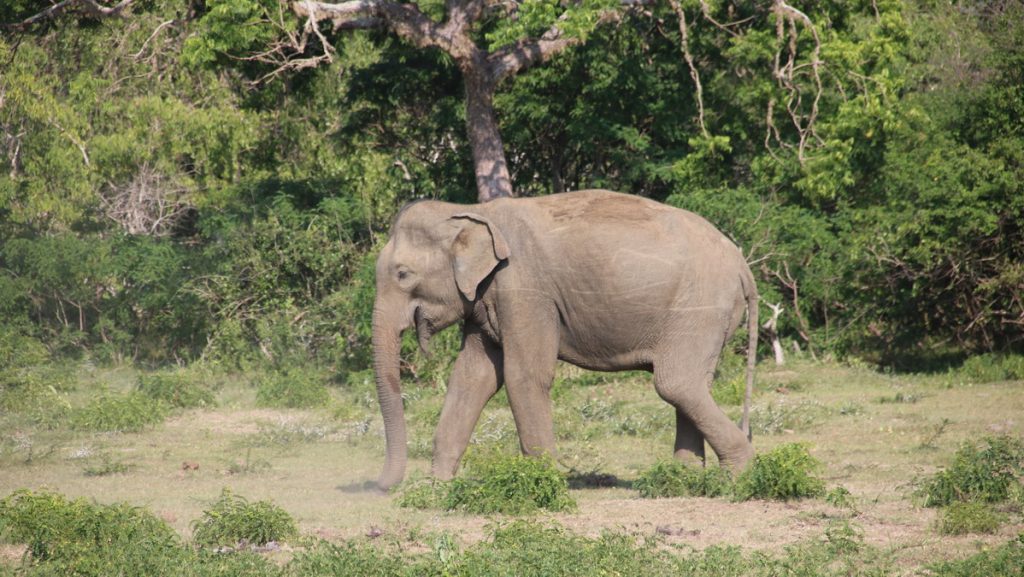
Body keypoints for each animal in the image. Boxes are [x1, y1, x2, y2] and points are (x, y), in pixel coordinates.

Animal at [372, 191, 757, 489]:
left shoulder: (524, 290)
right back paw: (683, 477)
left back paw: (738, 476)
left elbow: (524, 376)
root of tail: (743, 266)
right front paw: (435, 486)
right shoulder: (487, 300)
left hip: (700, 307)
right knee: (689, 385)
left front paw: (543, 481)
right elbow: (472, 378)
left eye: (403, 274)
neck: (474, 210)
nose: (382, 487)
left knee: (675, 383)